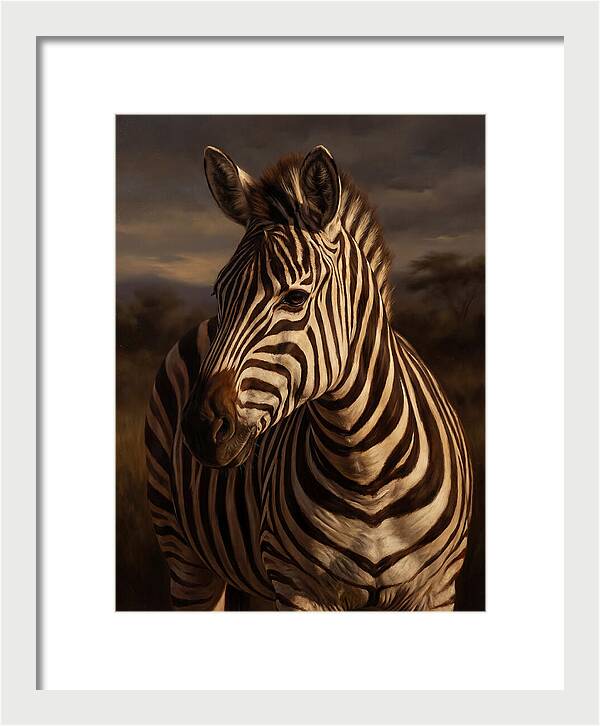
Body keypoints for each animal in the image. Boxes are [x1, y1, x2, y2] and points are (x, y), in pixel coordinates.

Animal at [145, 144, 473, 611]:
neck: (365, 472)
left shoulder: (436, 590)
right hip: (184, 552)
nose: (200, 427)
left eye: (296, 297)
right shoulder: (299, 587)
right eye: (219, 293)